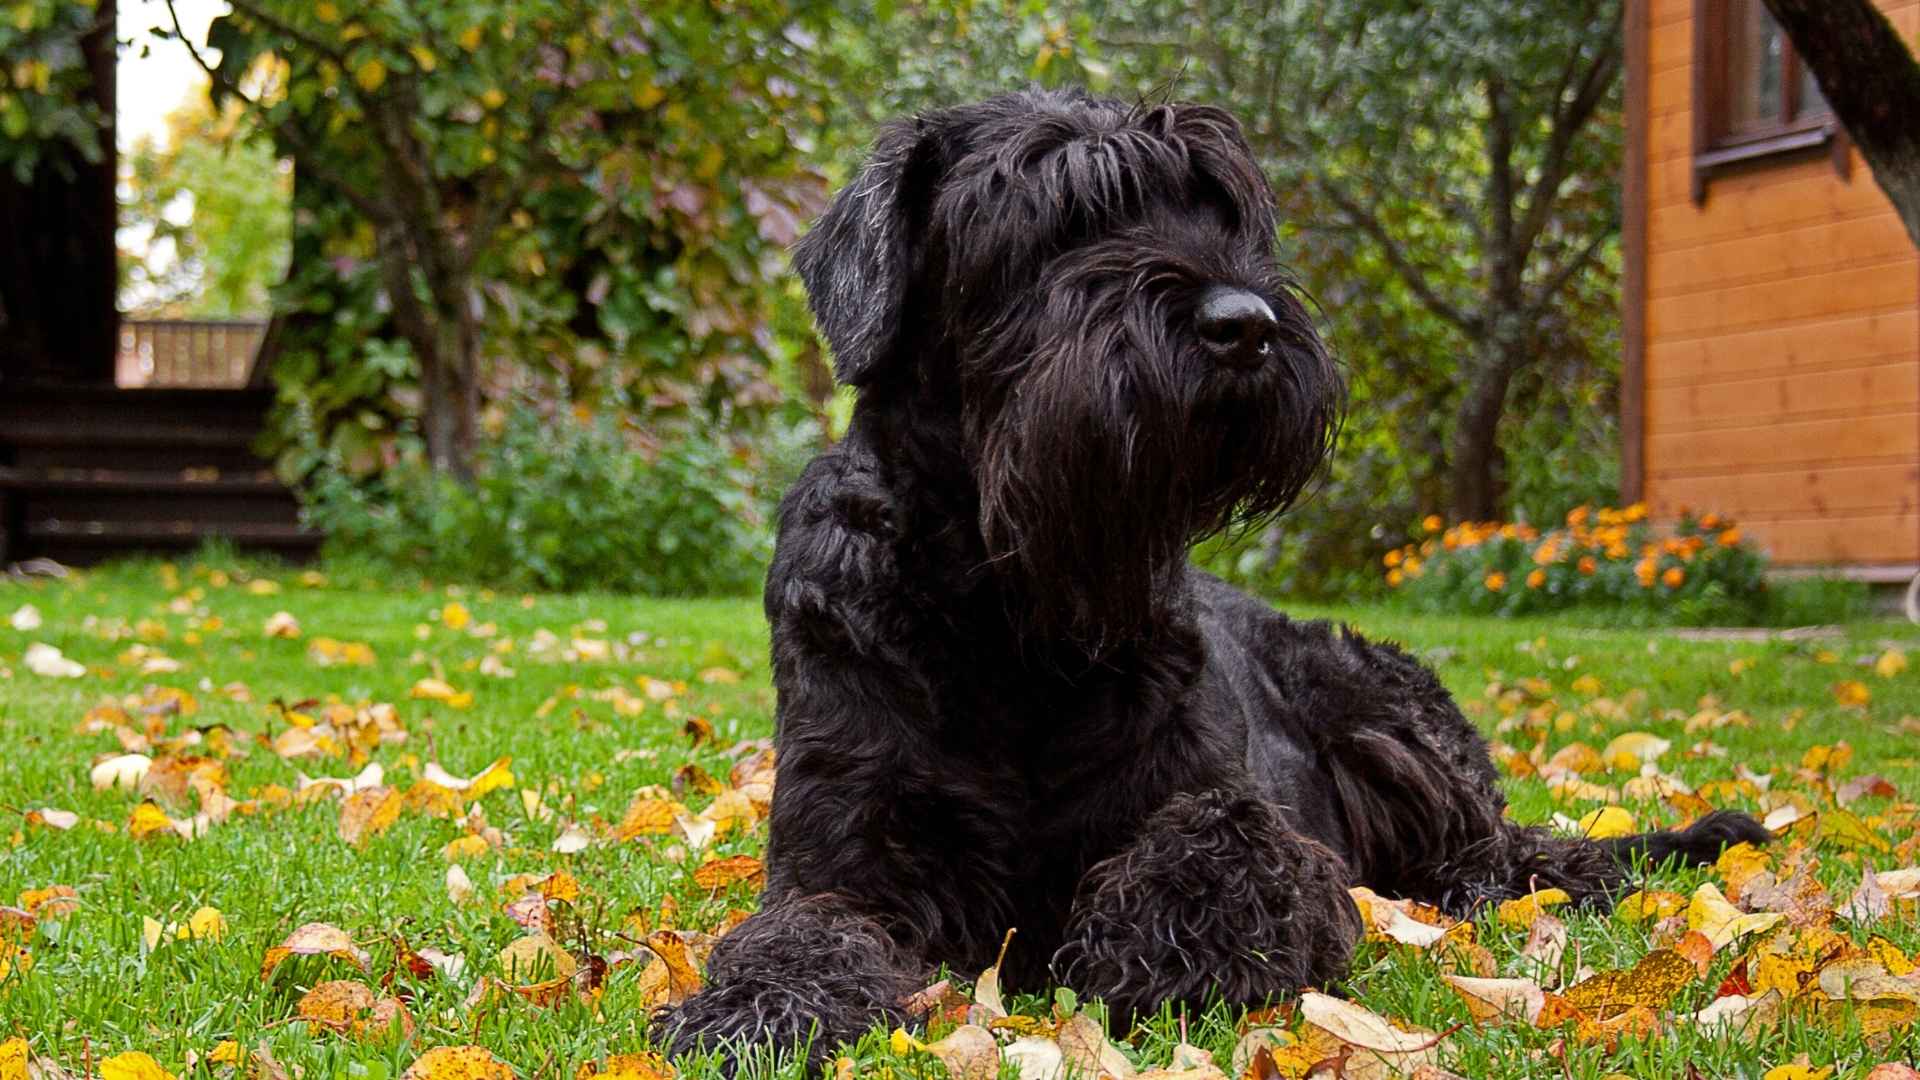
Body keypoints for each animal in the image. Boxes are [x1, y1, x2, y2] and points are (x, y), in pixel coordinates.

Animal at [656, 88, 1758, 1060]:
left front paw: (1163, 957)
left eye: (1220, 209)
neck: (1012, 606)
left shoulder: (1253, 822)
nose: (1244, 323)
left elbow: (1224, 841)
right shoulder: (841, 854)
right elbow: (800, 930)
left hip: (1381, 711)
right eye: (1059, 213)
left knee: (1513, 853)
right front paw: (754, 1011)